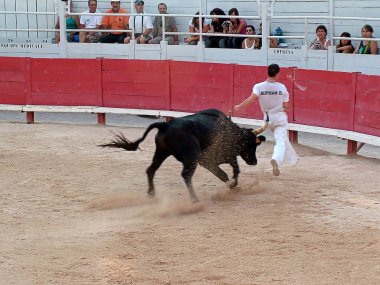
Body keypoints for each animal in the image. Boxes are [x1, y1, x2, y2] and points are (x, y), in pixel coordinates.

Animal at [101, 108, 268, 202]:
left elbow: (228, 172)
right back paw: (194, 199)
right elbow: (230, 171)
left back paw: (151, 193)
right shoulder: (208, 160)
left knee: (151, 169)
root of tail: (165, 124)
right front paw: (233, 186)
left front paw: (233, 187)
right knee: (186, 175)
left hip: (161, 152)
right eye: (251, 144)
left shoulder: (216, 160)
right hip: (190, 158)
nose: (254, 161)